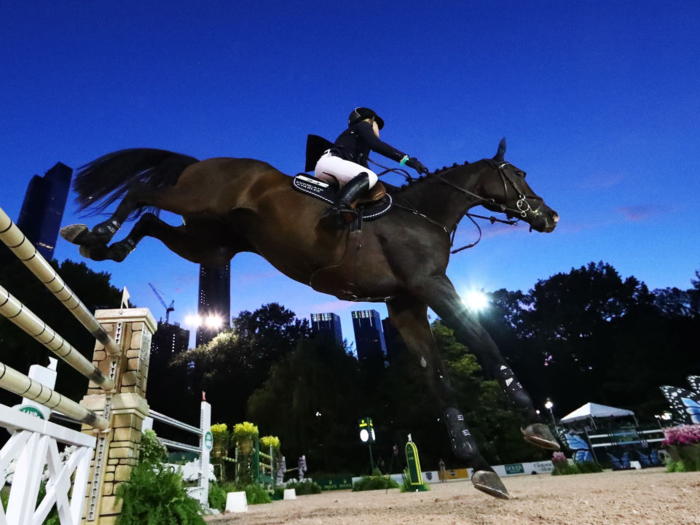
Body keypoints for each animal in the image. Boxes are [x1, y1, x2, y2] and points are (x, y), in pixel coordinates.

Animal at [63, 137, 560, 498]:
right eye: (519, 174)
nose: (551, 216)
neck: (423, 215)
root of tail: (207, 160)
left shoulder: (406, 305)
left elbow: (437, 378)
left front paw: (480, 467)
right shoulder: (431, 286)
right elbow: (483, 342)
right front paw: (536, 423)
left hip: (210, 244)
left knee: (150, 222)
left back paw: (104, 246)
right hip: (195, 199)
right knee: (142, 193)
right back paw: (94, 232)